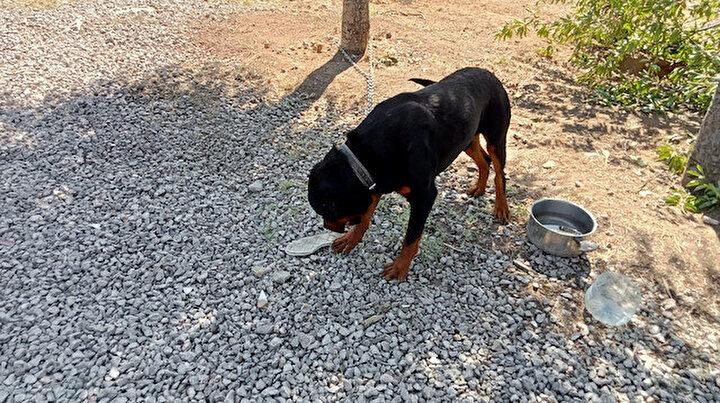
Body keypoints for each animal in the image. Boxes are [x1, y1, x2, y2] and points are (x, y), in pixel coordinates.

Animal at [306, 67, 510, 280]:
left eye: (327, 211)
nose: (326, 227)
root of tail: (486, 72)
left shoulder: (424, 196)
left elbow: (411, 238)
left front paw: (399, 268)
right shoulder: (377, 181)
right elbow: (365, 216)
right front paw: (351, 239)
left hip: (496, 137)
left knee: (499, 173)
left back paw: (501, 207)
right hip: (466, 139)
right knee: (484, 161)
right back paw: (479, 188)